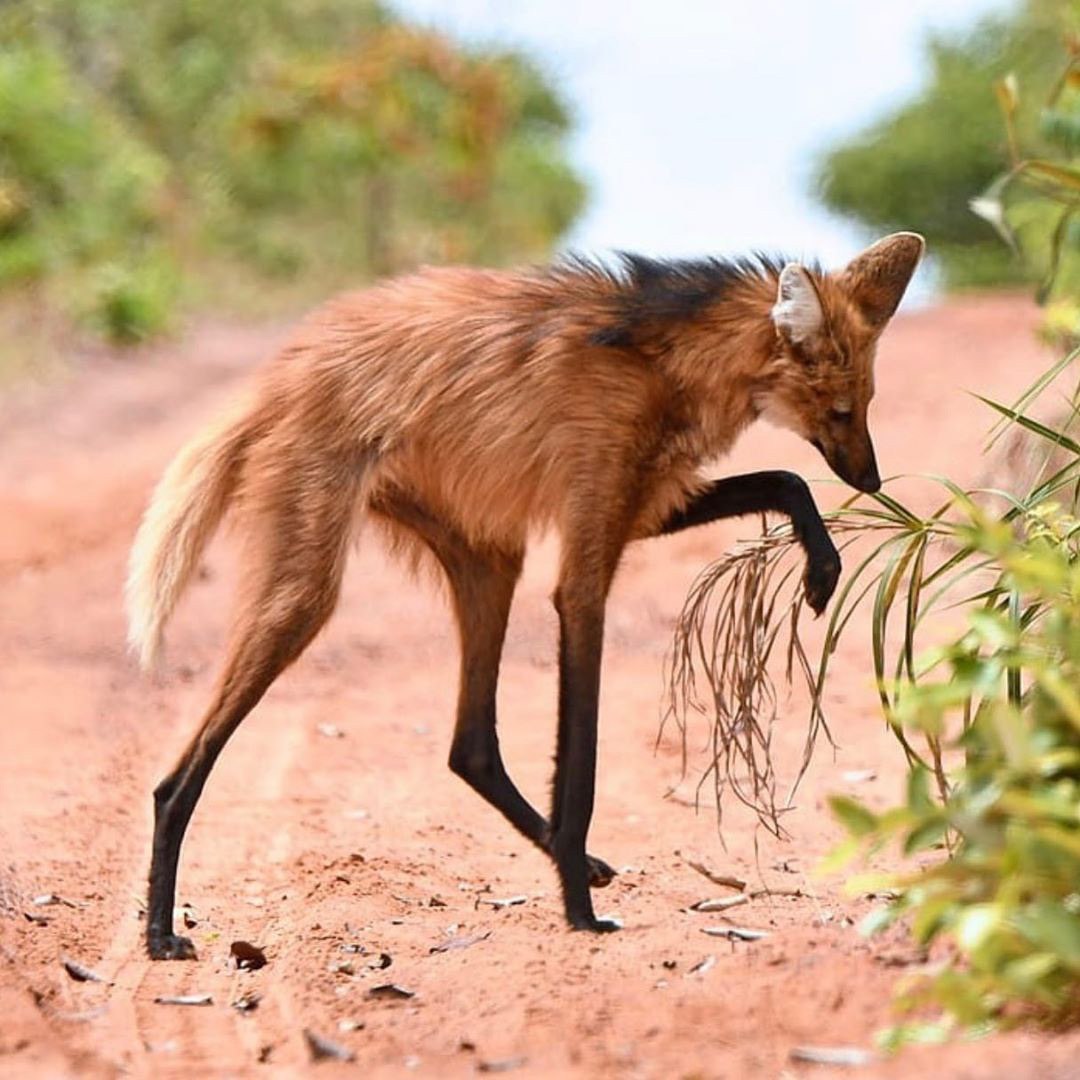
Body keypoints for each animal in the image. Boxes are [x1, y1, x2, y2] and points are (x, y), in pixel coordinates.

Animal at [124, 232, 920, 959]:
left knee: (469, 746)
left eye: (866, 403)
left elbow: (783, 479)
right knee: (179, 776)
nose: (872, 480)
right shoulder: (587, 562)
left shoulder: (639, 504)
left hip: (487, 560)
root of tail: (273, 383)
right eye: (842, 409)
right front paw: (578, 914)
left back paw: (584, 864)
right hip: (306, 591)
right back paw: (160, 934)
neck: (667, 359)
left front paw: (823, 565)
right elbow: (583, 760)